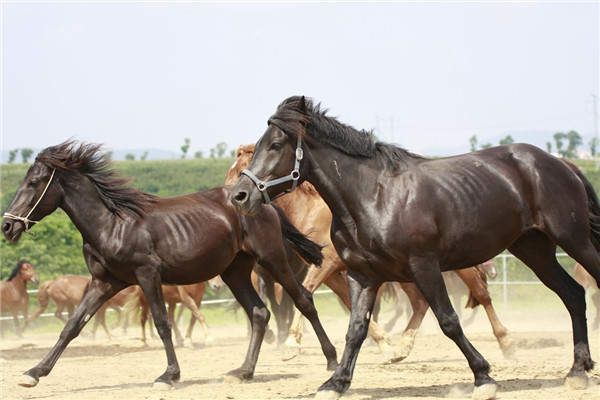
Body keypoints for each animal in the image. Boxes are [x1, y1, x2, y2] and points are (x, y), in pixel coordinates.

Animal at [1, 139, 338, 390]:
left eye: (34, 182)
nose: (7, 226)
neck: (113, 224)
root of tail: (261, 203)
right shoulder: (104, 282)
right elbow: (72, 326)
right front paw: (34, 373)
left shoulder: (147, 274)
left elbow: (162, 323)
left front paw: (169, 375)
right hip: (235, 271)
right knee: (259, 313)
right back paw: (243, 372)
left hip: (273, 260)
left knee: (303, 300)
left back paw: (331, 361)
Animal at [227, 144, 512, 362]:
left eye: (242, 167)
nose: (233, 196)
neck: (310, 210)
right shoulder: (337, 272)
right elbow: (348, 302)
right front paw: (383, 342)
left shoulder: (328, 265)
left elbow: (306, 291)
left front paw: (291, 345)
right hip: (406, 272)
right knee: (420, 304)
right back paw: (402, 347)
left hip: (455, 265)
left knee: (482, 294)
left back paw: (505, 342)